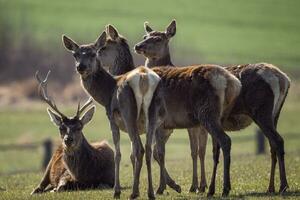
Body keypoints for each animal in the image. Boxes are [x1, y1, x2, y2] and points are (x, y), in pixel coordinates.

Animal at [62, 33, 163, 200]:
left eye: (94, 53)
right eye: (75, 54)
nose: (81, 67)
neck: (106, 93)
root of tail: (143, 77)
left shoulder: (112, 118)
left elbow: (118, 154)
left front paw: (117, 190)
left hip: (129, 113)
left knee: (140, 149)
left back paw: (133, 193)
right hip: (153, 113)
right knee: (148, 149)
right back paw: (150, 192)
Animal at [134, 19, 290, 196]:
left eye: (158, 39)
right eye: (145, 36)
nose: (138, 46)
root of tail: (284, 79)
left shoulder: (189, 125)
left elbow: (192, 151)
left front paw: (190, 186)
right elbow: (204, 151)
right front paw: (199, 186)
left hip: (258, 111)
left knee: (275, 140)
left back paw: (280, 185)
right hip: (274, 114)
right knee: (272, 145)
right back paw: (272, 187)